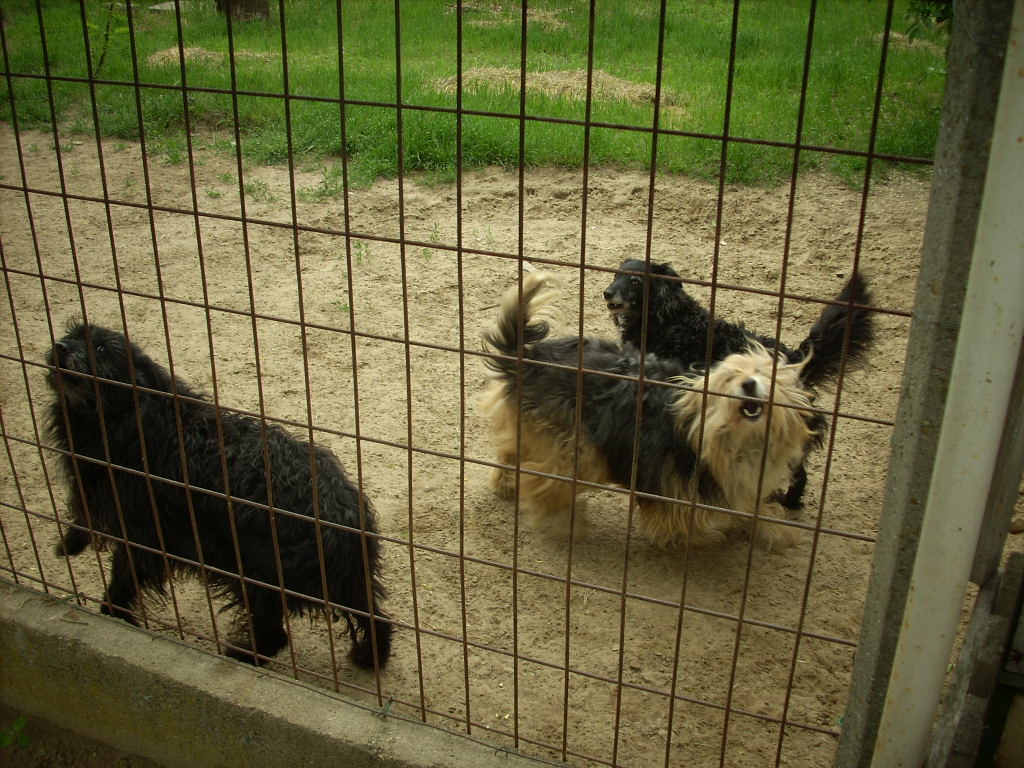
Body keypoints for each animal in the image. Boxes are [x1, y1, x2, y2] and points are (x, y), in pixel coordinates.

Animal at [45, 322, 391, 668]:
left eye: (102, 349)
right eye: (73, 335)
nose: (60, 347)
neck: (138, 416)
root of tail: (349, 520)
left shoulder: (146, 534)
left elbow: (123, 577)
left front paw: (112, 613)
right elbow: (82, 510)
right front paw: (70, 543)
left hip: (257, 575)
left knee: (274, 635)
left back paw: (242, 656)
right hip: (340, 583)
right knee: (377, 618)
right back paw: (368, 657)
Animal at [481, 274, 829, 550]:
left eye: (767, 376)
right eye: (729, 377)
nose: (749, 384)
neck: (738, 441)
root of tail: (529, 357)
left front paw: (778, 532)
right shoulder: (671, 482)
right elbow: (679, 523)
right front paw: (703, 536)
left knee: (512, 451)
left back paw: (505, 484)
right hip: (578, 447)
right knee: (545, 482)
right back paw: (564, 523)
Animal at [603, 259, 873, 514]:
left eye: (636, 281)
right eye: (616, 275)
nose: (607, 293)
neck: (667, 320)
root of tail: (796, 360)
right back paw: (788, 501)